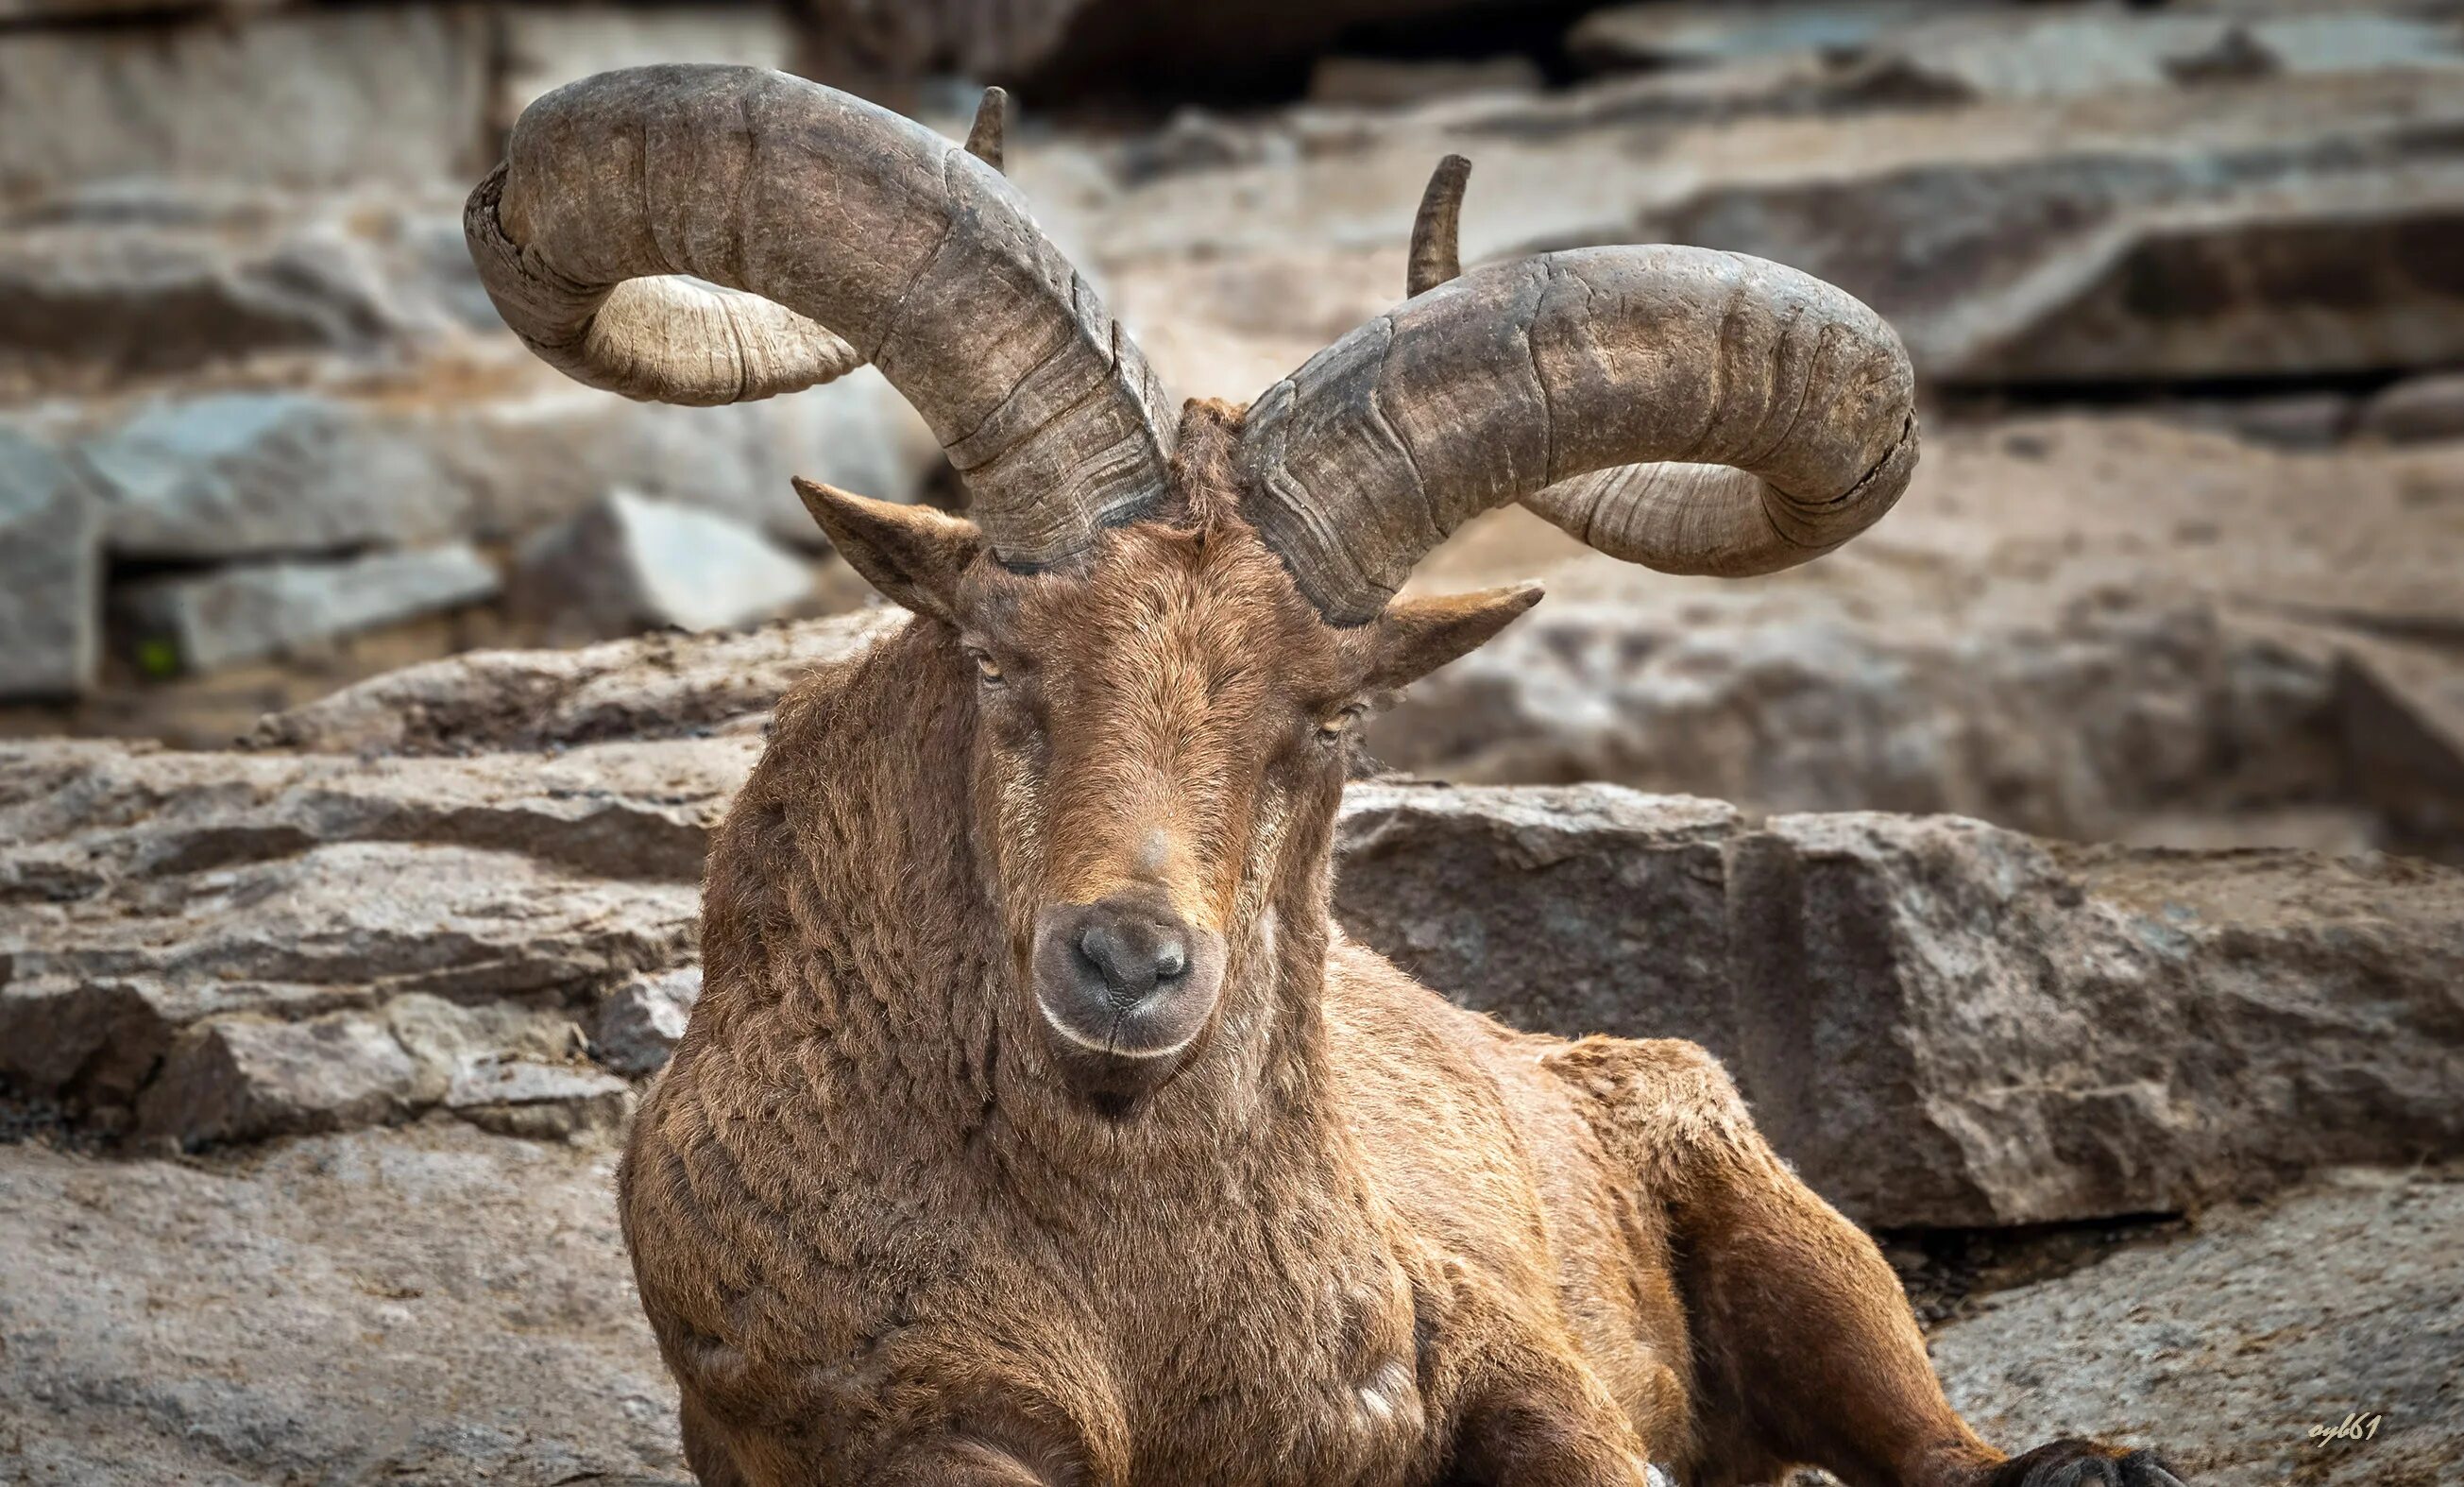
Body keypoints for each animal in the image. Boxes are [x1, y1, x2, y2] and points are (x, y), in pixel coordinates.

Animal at [470, 66, 2187, 1487]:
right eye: (996, 655)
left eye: (1333, 712)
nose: (1128, 962)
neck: (1133, 1283)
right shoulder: (913, 1425)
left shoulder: (1495, 1357)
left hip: (1772, 1215)